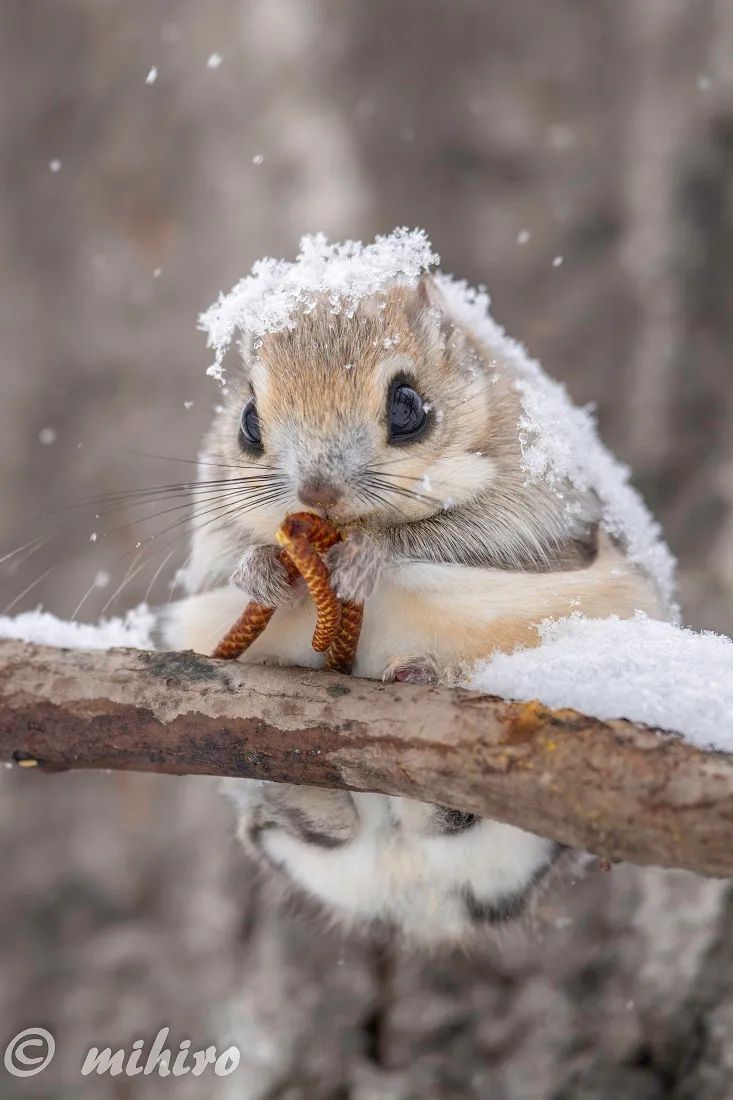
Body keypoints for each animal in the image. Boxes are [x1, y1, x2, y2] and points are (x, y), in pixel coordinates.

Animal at [162, 268, 664, 946]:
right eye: (247, 422)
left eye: (407, 406)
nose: (315, 490)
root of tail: (419, 902)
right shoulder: (209, 543)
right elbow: (226, 565)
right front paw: (261, 570)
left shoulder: (544, 517)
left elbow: (453, 538)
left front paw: (369, 556)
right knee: (314, 826)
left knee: (447, 814)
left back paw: (418, 677)